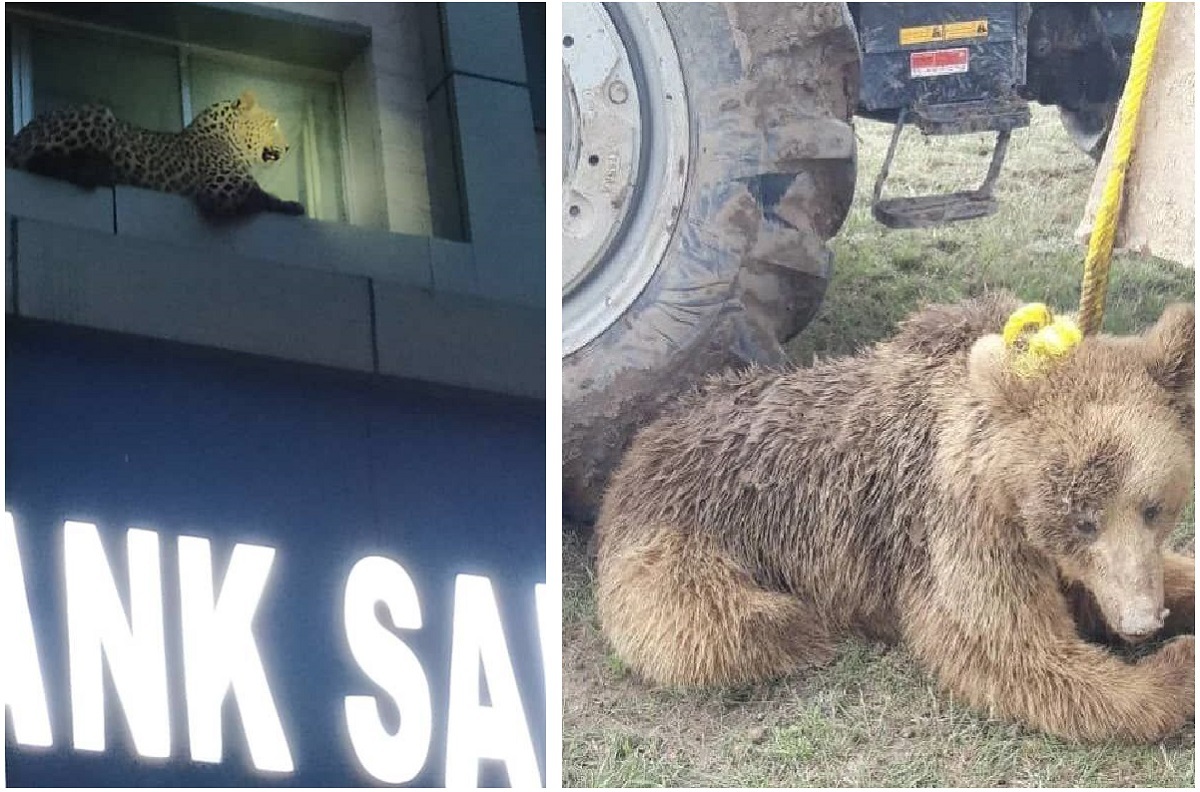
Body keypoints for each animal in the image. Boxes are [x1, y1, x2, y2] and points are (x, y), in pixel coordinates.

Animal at [6, 90, 304, 219]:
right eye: (272, 123)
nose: (289, 146)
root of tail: (19, 133)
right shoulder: (222, 189)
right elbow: (262, 196)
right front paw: (292, 205)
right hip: (100, 114)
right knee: (37, 161)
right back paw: (97, 171)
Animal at [595, 290, 1195, 744]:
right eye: (1082, 518)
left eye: (1153, 506)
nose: (1141, 622)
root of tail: (640, 444)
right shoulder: (955, 526)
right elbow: (1014, 651)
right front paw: (1175, 667)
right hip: (681, 537)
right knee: (717, 624)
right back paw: (802, 630)